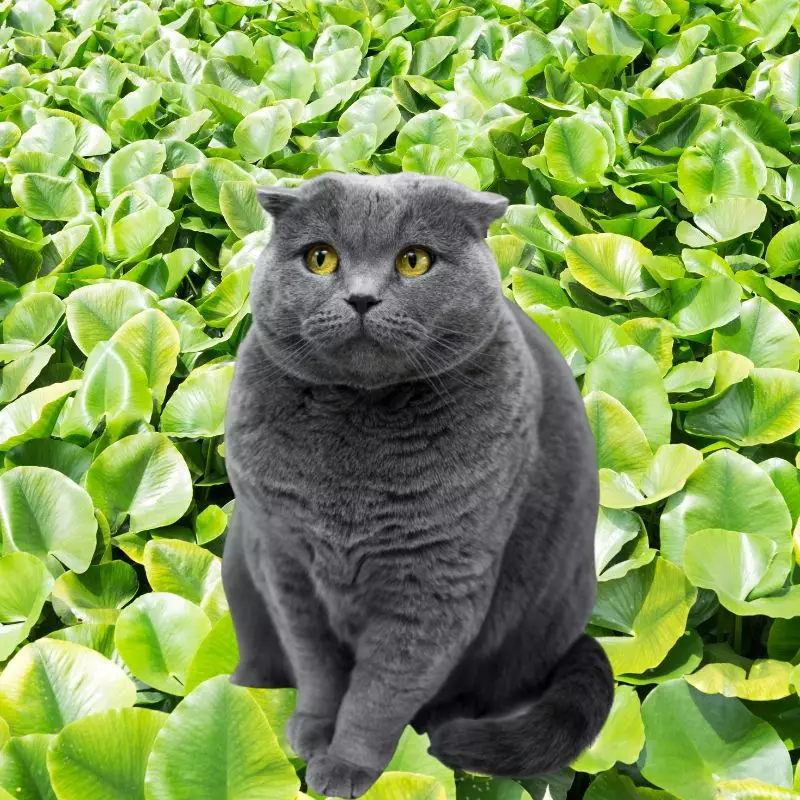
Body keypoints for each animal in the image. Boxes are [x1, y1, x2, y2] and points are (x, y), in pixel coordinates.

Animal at [222, 172, 616, 796]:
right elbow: (317, 667)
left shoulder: (435, 581)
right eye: (319, 258)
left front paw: (345, 766)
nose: (361, 297)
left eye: (414, 261)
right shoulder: (285, 564)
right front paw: (311, 732)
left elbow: (381, 692)